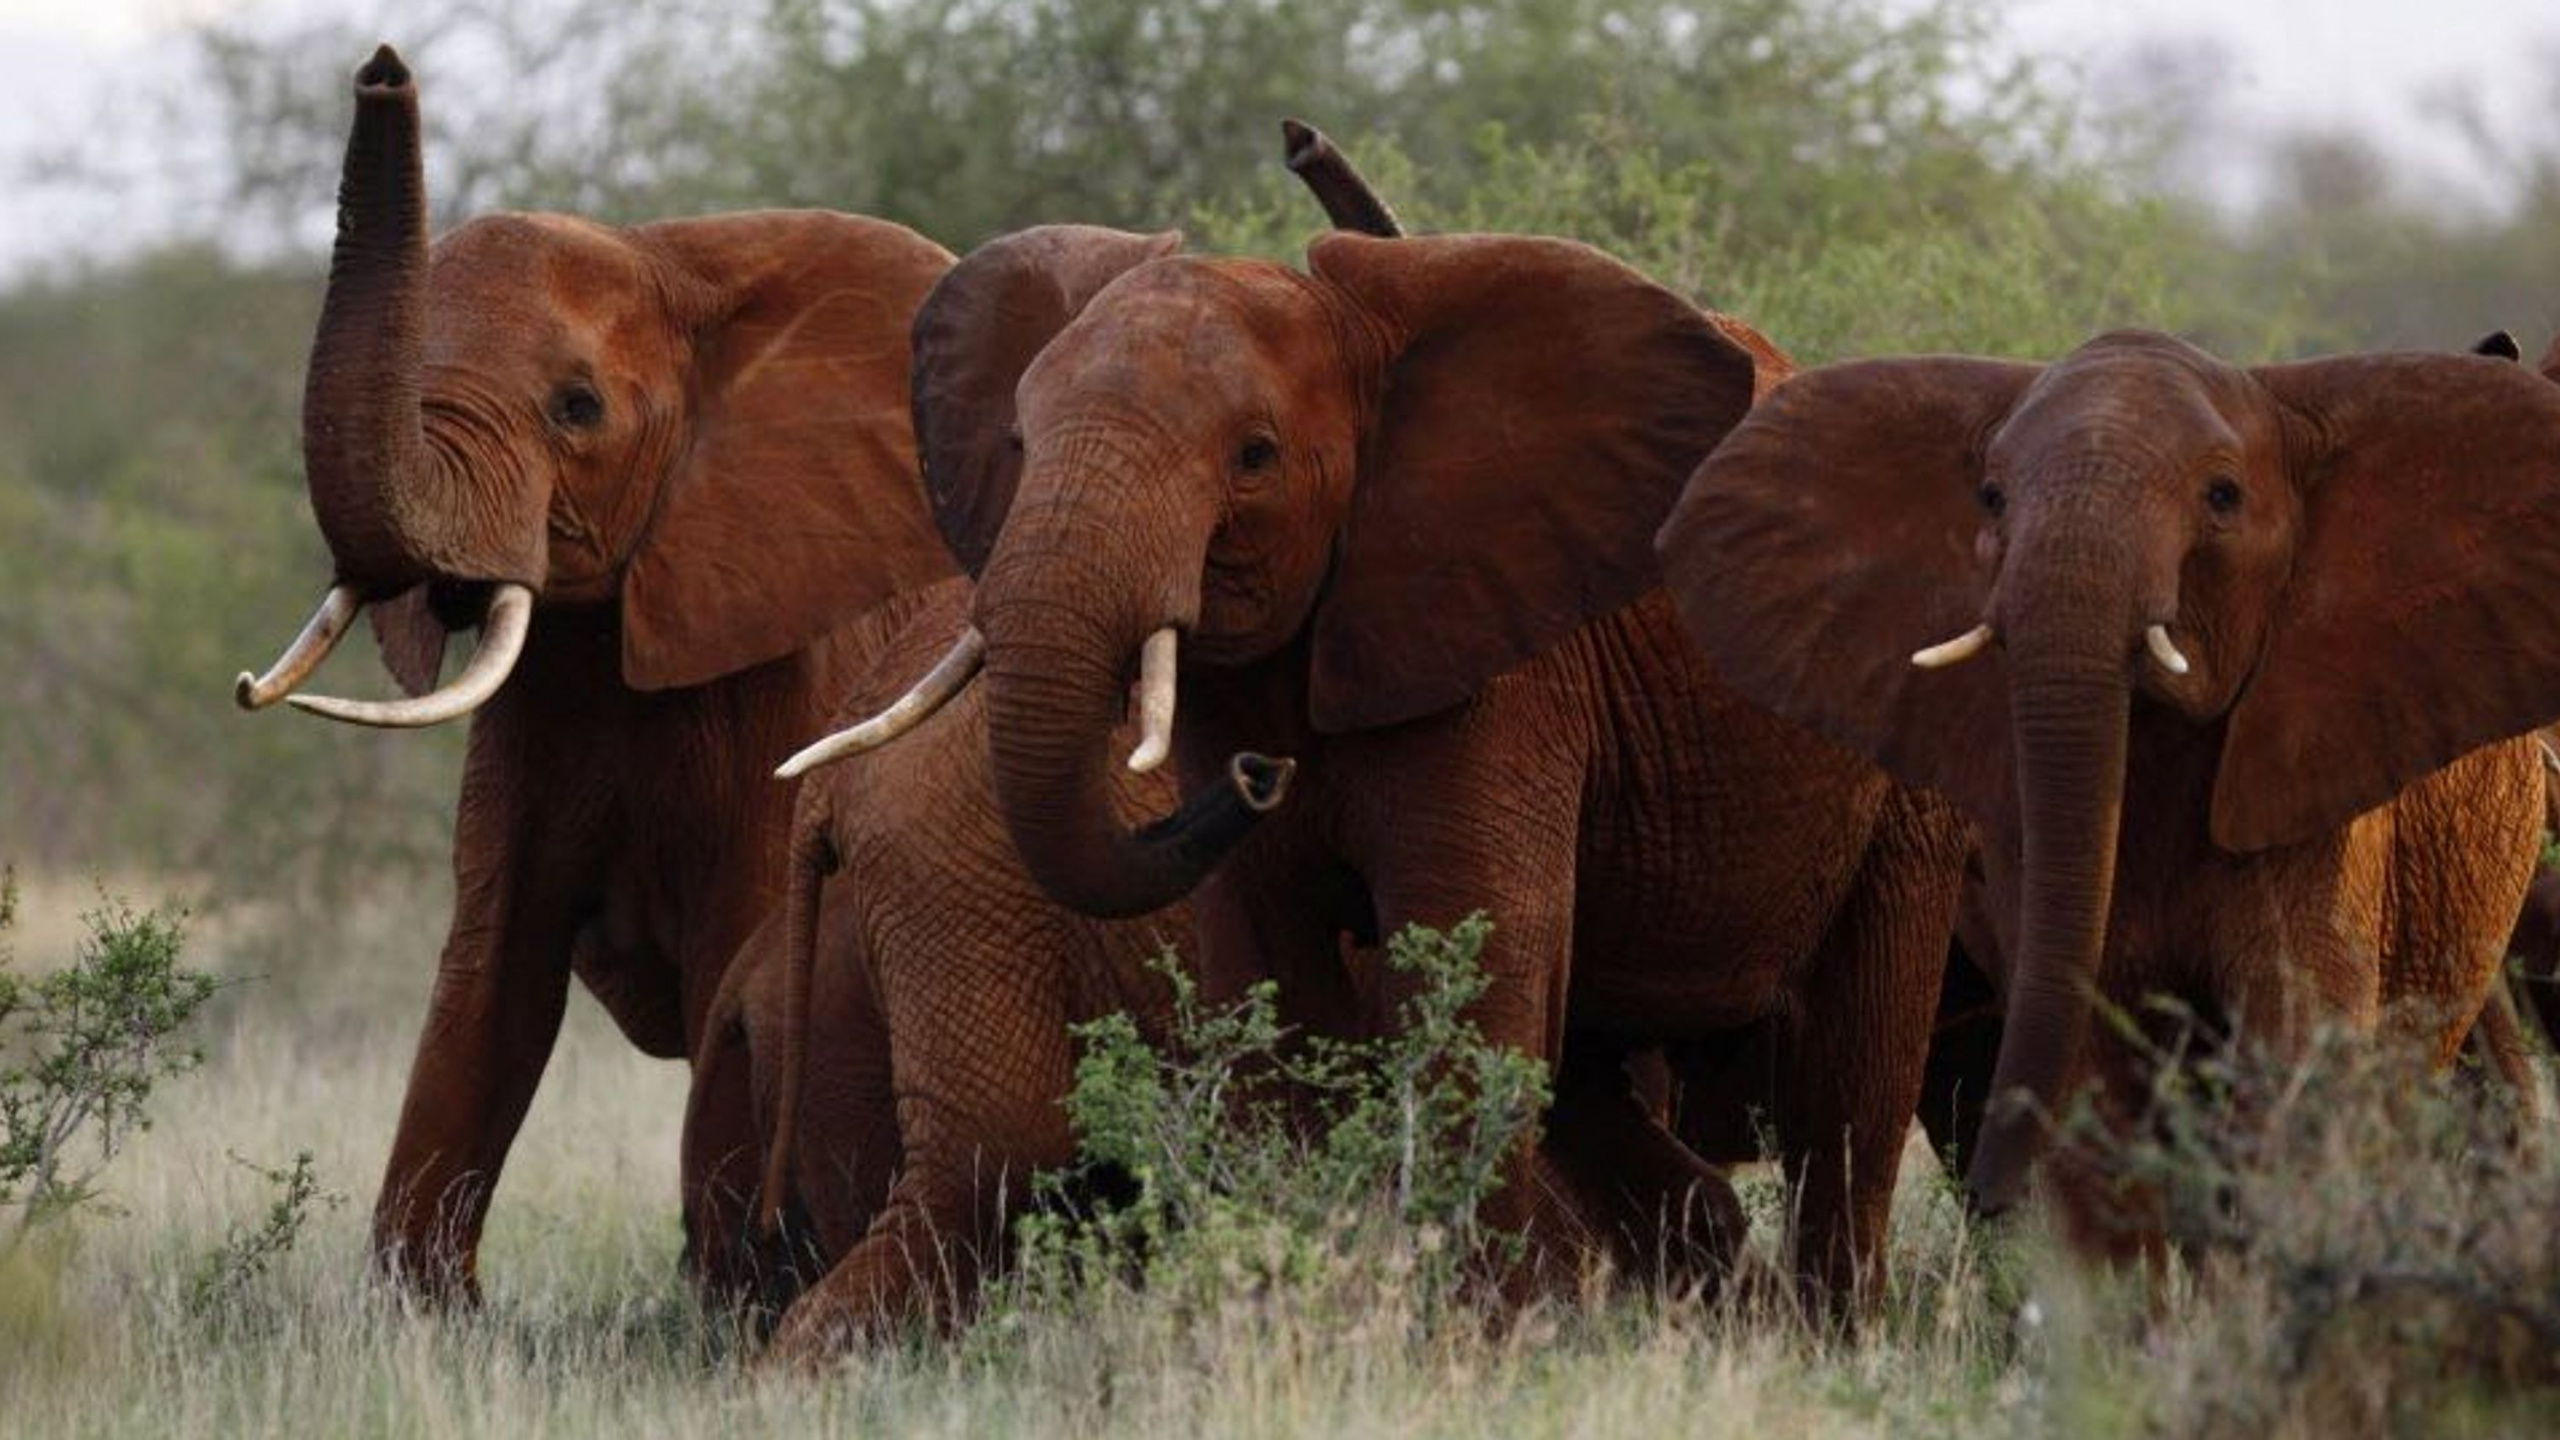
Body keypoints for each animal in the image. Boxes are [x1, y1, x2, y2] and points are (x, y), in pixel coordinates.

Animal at [232, 47, 962, 1301]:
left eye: (577, 409)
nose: (382, 68)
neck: (667, 258)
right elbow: (491, 975)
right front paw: (424, 1316)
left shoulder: (790, 668)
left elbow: (737, 960)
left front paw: (724, 1301)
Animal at [793, 221, 1955, 1301]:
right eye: (1018, 444)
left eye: (1255, 456)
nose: (1257, 779)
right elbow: (1270, 992)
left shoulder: (1499, 663)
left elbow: (1468, 978)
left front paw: (1476, 1338)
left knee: (1853, 1087)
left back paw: (1827, 1330)